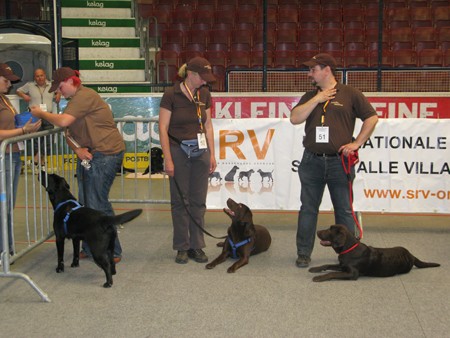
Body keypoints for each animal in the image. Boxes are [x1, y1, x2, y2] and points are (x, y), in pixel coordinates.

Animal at [310, 224, 440, 282]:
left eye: (329, 230)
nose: (317, 231)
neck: (350, 249)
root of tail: (412, 255)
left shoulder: (352, 273)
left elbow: (332, 273)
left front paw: (319, 277)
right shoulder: (342, 266)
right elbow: (326, 265)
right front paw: (314, 269)